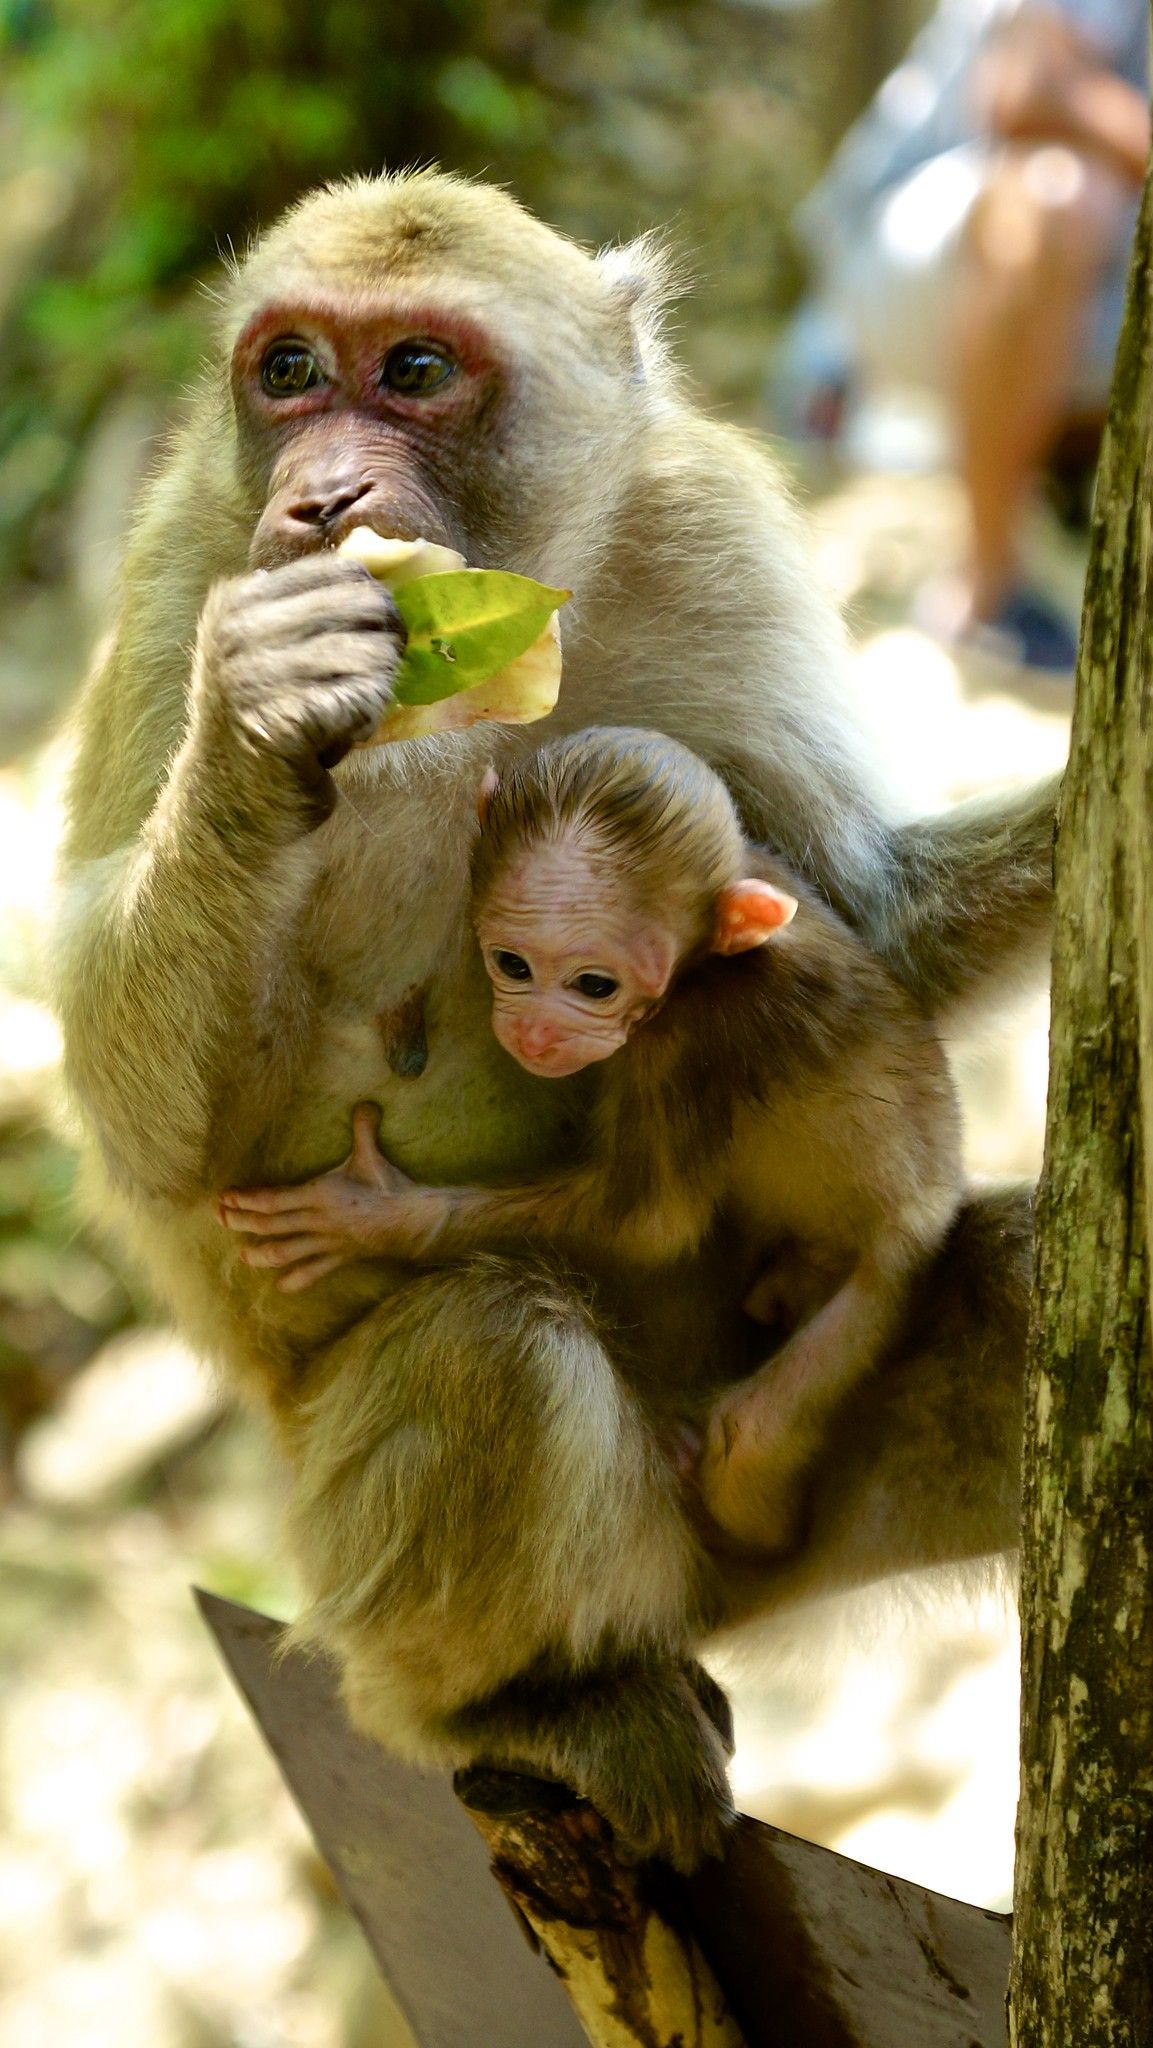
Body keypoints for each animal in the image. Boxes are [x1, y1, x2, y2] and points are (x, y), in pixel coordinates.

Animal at [223, 737, 966, 1548]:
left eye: (594, 985)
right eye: (513, 965)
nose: (535, 1031)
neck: (707, 963)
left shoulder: (684, 1044)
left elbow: (652, 1226)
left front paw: (373, 1215)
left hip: (877, 1289)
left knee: (748, 1438)